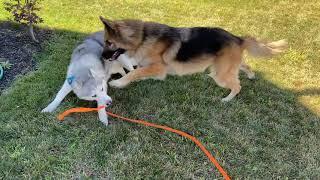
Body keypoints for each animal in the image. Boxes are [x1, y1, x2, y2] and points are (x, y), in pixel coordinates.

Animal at [99, 16, 286, 101]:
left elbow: (134, 73)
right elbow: (139, 72)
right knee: (245, 66)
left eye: (109, 42)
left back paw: (227, 99)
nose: (101, 56)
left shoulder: (159, 67)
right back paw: (251, 75)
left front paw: (118, 83)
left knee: (237, 86)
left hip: (220, 74)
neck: (142, 37)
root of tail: (238, 39)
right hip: (227, 66)